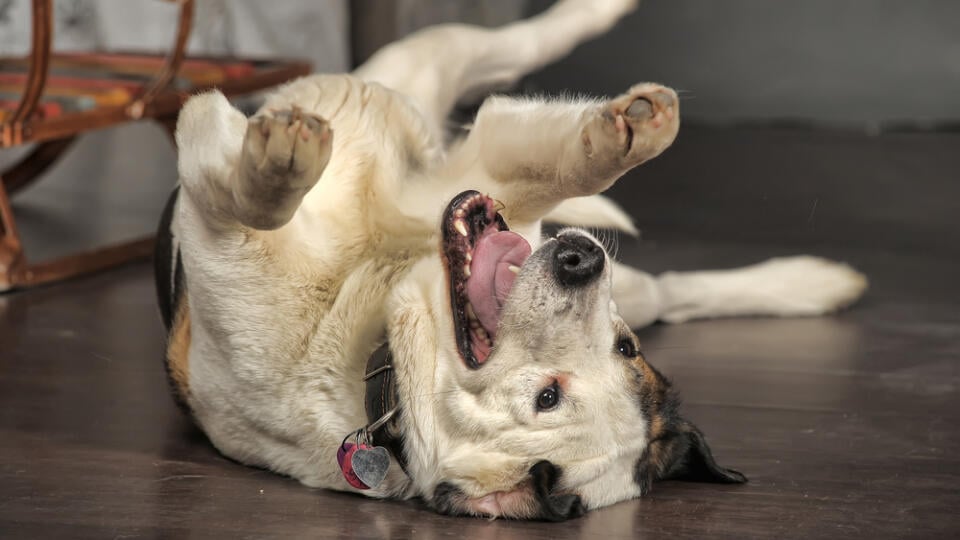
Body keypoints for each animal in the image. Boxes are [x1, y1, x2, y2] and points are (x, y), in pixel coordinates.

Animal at [154, 1, 868, 524]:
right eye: (625, 348)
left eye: (546, 398)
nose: (580, 260)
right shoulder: (481, 181)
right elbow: (553, 165)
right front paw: (618, 136)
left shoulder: (216, 221)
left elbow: (244, 203)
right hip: (428, 67)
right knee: (520, 46)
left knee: (671, 291)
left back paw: (814, 283)